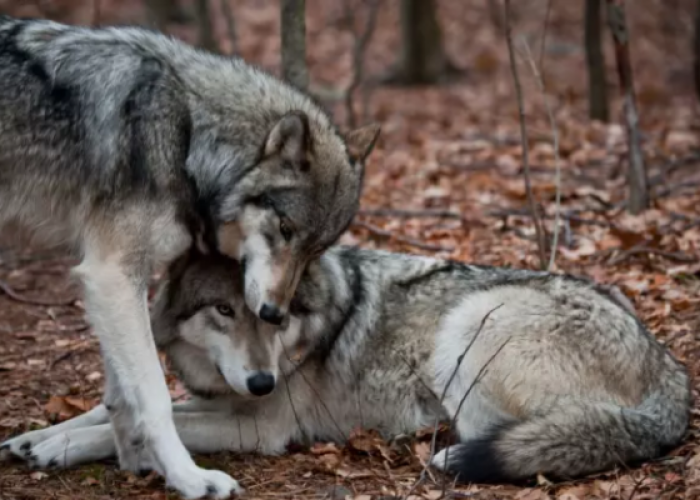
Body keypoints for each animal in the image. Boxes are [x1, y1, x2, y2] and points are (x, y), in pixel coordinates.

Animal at [0, 14, 378, 496]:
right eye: (285, 230)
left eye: (317, 249)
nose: (275, 313)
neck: (186, 137)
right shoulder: (111, 272)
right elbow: (155, 396)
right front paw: (189, 477)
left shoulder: (119, 279)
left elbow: (120, 395)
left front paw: (130, 459)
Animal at [1, 248, 688, 482]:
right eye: (224, 309)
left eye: (273, 314)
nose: (262, 381)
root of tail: (672, 373)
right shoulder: (222, 397)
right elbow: (118, 409)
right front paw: (33, 439)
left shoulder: (261, 426)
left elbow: (151, 423)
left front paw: (59, 451)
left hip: (469, 326)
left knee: (491, 435)